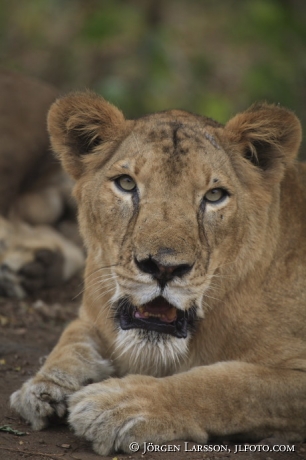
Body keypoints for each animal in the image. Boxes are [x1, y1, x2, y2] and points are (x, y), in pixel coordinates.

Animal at [10, 90, 306, 456]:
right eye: (126, 184)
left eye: (214, 195)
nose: (164, 268)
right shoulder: (92, 313)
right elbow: (71, 340)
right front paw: (44, 385)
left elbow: (231, 384)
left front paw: (118, 406)